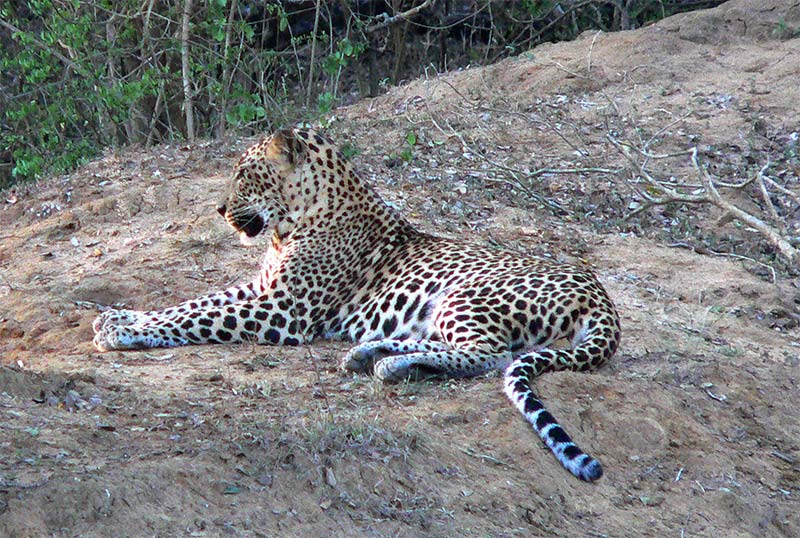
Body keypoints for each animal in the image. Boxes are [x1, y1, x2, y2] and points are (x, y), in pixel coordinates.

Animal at [92, 126, 620, 482]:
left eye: (245, 175)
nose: (220, 210)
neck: (293, 222)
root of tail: (602, 296)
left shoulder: (281, 309)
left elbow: (197, 316)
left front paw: (119, 331)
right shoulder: (260, 290)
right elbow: (189, 304)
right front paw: (119, 317)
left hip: (465, 296)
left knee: (492, 356)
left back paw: (388, 365)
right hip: (436, 312)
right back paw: (370, 354)